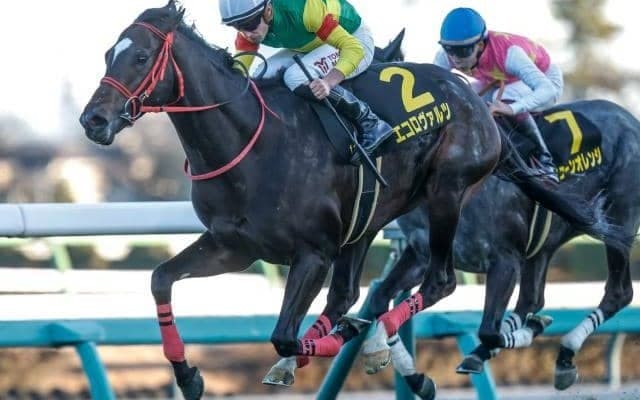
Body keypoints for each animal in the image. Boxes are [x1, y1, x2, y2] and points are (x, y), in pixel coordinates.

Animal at [363, 99, 640, 396]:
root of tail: (629, 119)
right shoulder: (421, 254)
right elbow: (379, 298)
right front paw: (415, 377)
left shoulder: (504, 261)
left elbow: (488, 329)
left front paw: (530, 328)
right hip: (543, 247)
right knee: (532, 298)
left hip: (620, 220)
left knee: (619, 293)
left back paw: (563, 349)